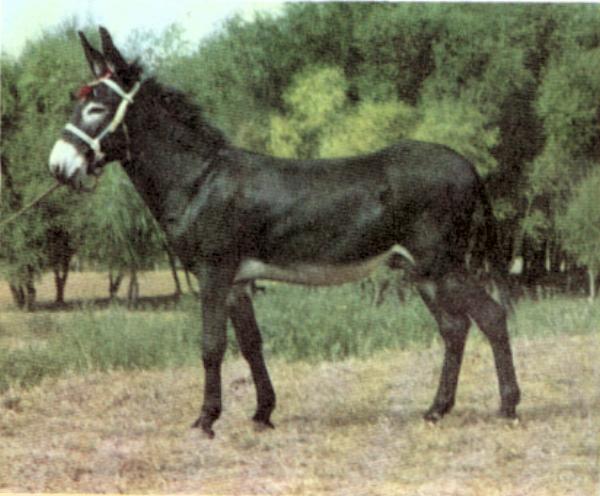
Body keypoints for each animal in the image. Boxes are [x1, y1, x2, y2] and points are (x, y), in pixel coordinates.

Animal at [49, 27, 520, 438]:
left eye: (97, 107)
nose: (57, 167)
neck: (199, 178)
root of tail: (467, 166)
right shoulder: (237, 280)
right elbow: (251, 344)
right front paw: (262, 413)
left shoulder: (214, 272)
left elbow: (211, 345)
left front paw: (206, 420)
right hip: (420, 269)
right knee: (455, 327)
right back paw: (437, 409)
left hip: (443, 262)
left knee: (492, 317)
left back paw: (508, 407)